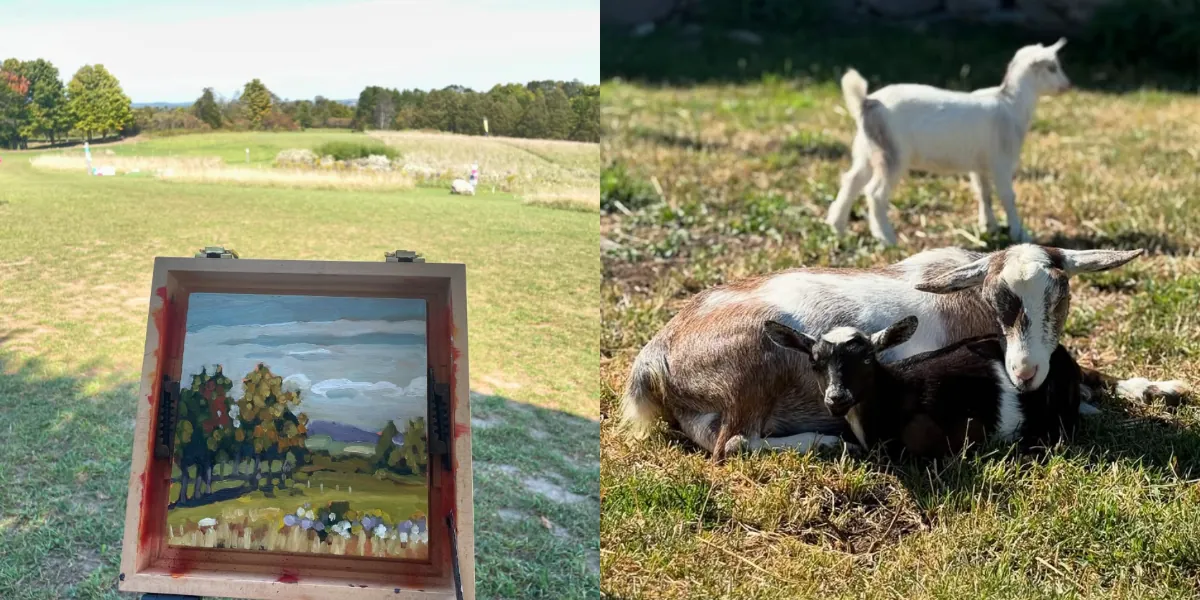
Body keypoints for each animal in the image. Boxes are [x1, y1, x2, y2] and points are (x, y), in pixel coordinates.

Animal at [826, 39, 1071, 246]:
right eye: (1052, 68)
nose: (1067, 86)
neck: (1011, 103)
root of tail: (867, 102)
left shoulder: (980, 165)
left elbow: (984, 193)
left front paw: (989, 227)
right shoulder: (1001, 160)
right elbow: (1007, 196)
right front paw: (1020, 234)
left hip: (868, 149)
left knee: (852, 180)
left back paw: (837, 226)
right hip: (892, 153)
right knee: (875, 192)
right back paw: (886, 238)